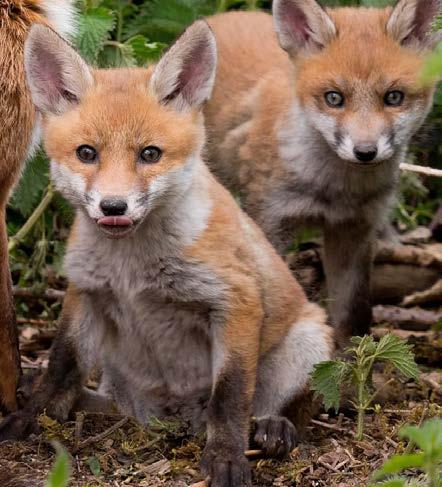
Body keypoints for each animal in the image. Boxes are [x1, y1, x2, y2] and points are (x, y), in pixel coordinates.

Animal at [0, 21, 334, 486]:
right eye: (87, 153)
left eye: (149, 154)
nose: (113, 207)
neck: (132, 270)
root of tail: (172, 418)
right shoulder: (85, 292)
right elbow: (60, 367)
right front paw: (31, 417)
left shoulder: (237, 300)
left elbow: (230, 396)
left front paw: (227, 457)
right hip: (120, 390)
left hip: (309, 340)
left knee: (290, 405)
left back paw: (274, 426)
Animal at [204, 0, 440, 343]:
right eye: (334, 98)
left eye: (394, 97)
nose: (365, 152)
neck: (335, 191)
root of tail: (220, 16)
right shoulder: (270, 219)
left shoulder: (356, 229)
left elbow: (353, 314)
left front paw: (350, 358)